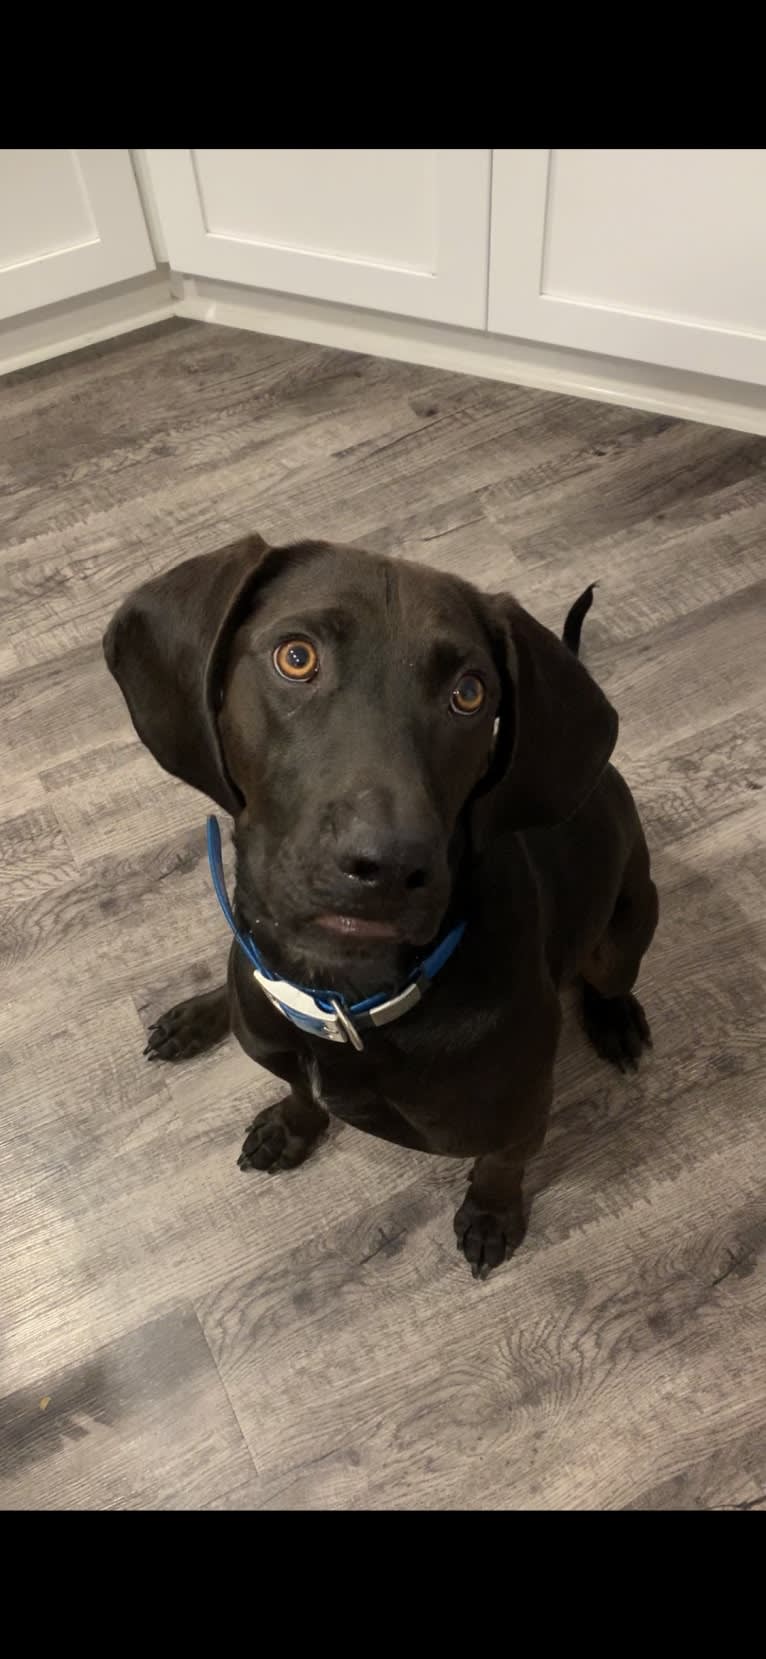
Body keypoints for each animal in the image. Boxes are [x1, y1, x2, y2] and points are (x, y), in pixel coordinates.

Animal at [104, 537, 659, 1274]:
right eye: (296, 656)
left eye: (470, 693)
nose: (389, 865)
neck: (341, 998)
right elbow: (299, 1089)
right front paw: (292, 1125)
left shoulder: (519, 1119)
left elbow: (499, 1167)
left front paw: (491, 1215)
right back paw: (199, 1013)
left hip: (624, 925)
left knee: (610, 972)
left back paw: (615, 1018)